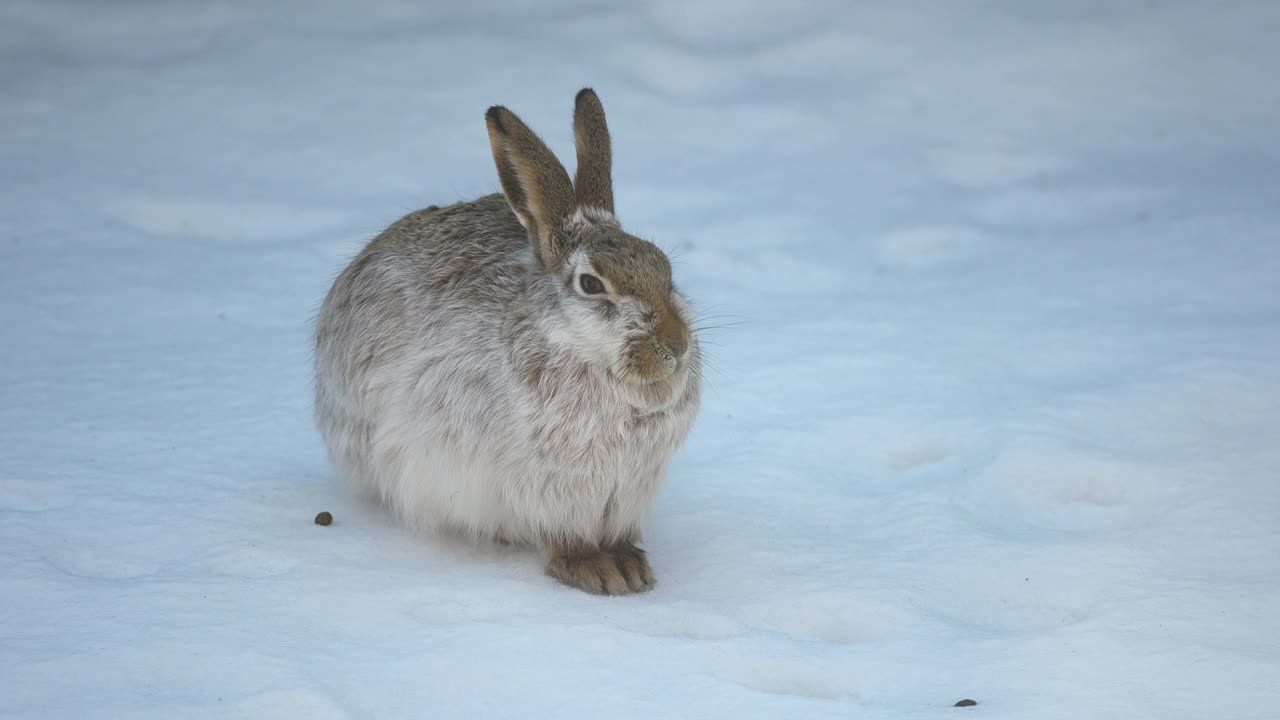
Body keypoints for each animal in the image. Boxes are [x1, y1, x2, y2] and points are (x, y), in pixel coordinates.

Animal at [316, 88, 706, 594]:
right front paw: (598, 570)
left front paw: (627, 563)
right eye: (591, 284)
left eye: (665, 271)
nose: (674, 347)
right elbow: (562, 537)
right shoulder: (547, 486)